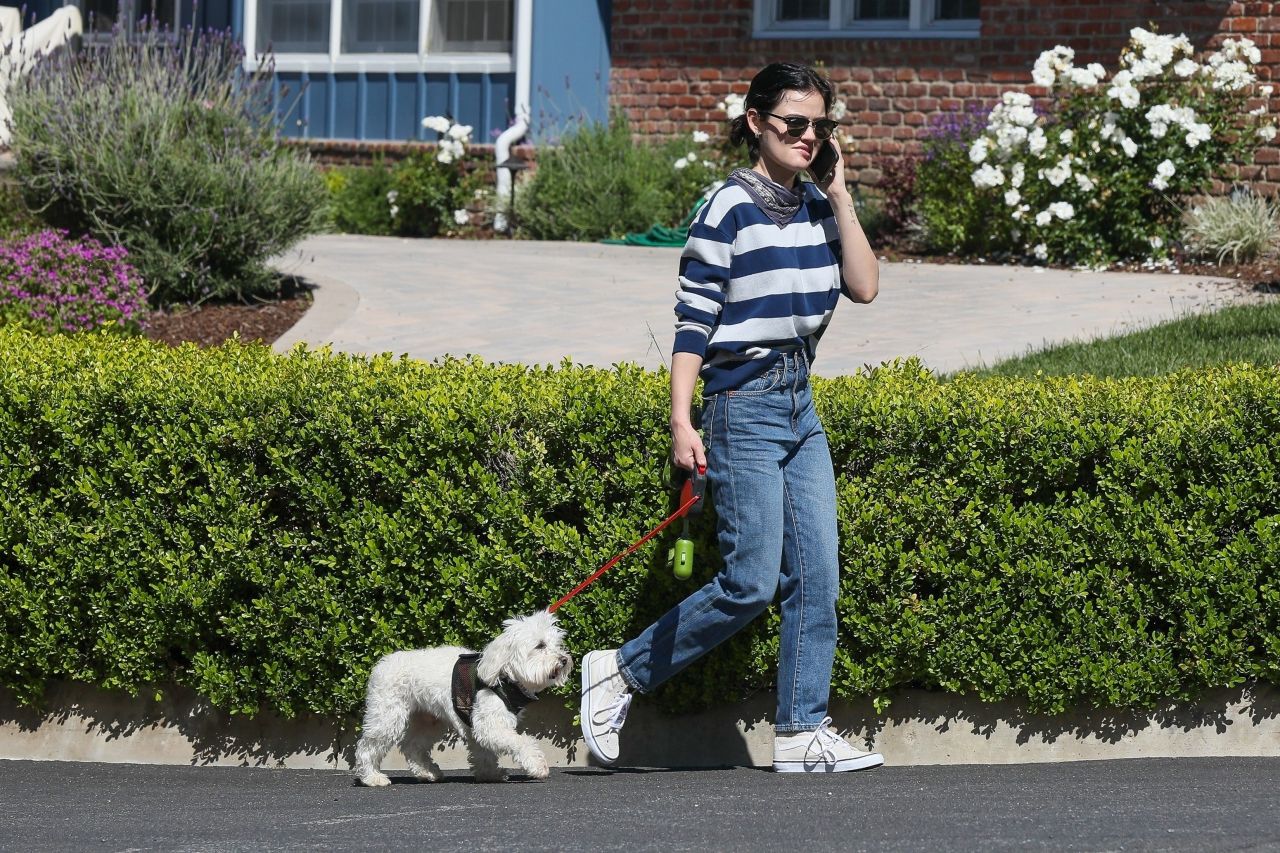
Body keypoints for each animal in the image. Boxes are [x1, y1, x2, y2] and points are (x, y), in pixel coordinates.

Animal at [350, 604, 570, 783]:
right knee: (368, 746)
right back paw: (372, 777)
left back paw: (427, 772)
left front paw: (490, 774)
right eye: (540, 645)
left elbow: (483, 751)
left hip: (427, 719)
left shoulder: (477, 723)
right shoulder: (490, 723)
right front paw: (537, 765)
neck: (503, 674)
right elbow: (521, 742)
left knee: (413, 746)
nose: (565, 659)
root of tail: (381, 665)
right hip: (387, 715)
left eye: (557, 645)